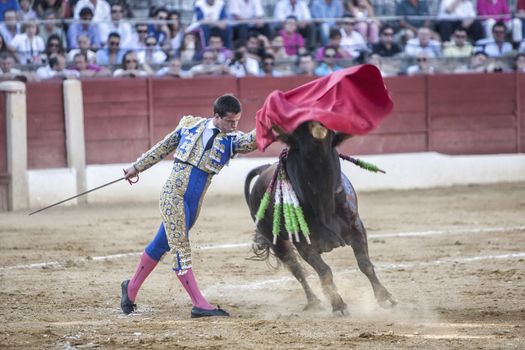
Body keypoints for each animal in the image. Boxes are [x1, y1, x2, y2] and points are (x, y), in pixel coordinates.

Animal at [244, 121, 396, 314]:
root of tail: (265, 168)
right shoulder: (303, 244)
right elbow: (324, 271)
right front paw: (338, 305)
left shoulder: (356, 227)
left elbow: (365, 264)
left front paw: (384, 297)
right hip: (277, 242)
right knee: (297, 270)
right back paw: (314, 301)